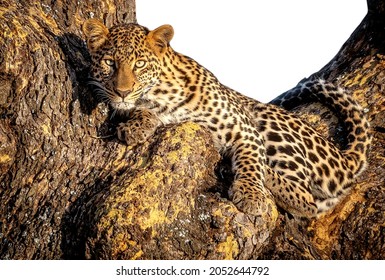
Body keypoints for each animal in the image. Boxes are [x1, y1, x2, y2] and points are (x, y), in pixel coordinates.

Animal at [82, 18, 370, 218]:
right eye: (109, 63)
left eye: (139, 64)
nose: (122, 90)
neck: (162, 92)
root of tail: (343, 157)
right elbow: (141, 109)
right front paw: (136, 125)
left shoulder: (245, 130)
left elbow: (251, 162)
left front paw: (251, 195)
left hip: (271, 126)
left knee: (305, 200)